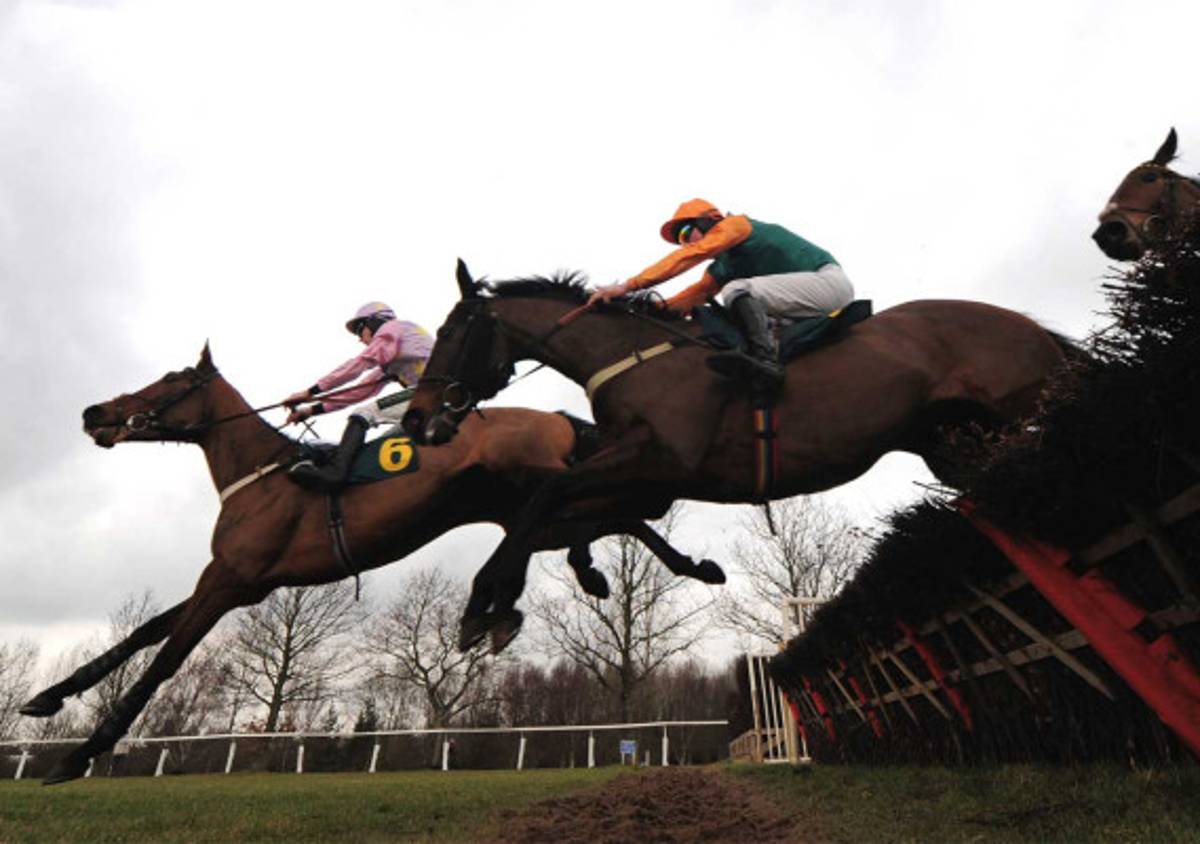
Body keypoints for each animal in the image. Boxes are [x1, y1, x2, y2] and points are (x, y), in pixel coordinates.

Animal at [20, 345, 722, 784]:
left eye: (170, 380)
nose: (94, 413)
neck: (262, 476)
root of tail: (550, 414)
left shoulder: (228, 579)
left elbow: (164, 660)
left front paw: (79, 756)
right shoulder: (239, 583)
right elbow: (145, 632)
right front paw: (46, 699)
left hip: (538, 492)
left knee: (621, 513)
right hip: (529, 511)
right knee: (611, 521)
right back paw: (626, 573)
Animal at [401, 261, 1075, 650]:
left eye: (450, 333)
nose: (415, 417)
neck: (632, 358)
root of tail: (1032, 327)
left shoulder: (664, 461)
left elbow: (549, 494)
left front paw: (488, 601)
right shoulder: (649, 482)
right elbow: (572, 513)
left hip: (1015, 418)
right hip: (954, 445)